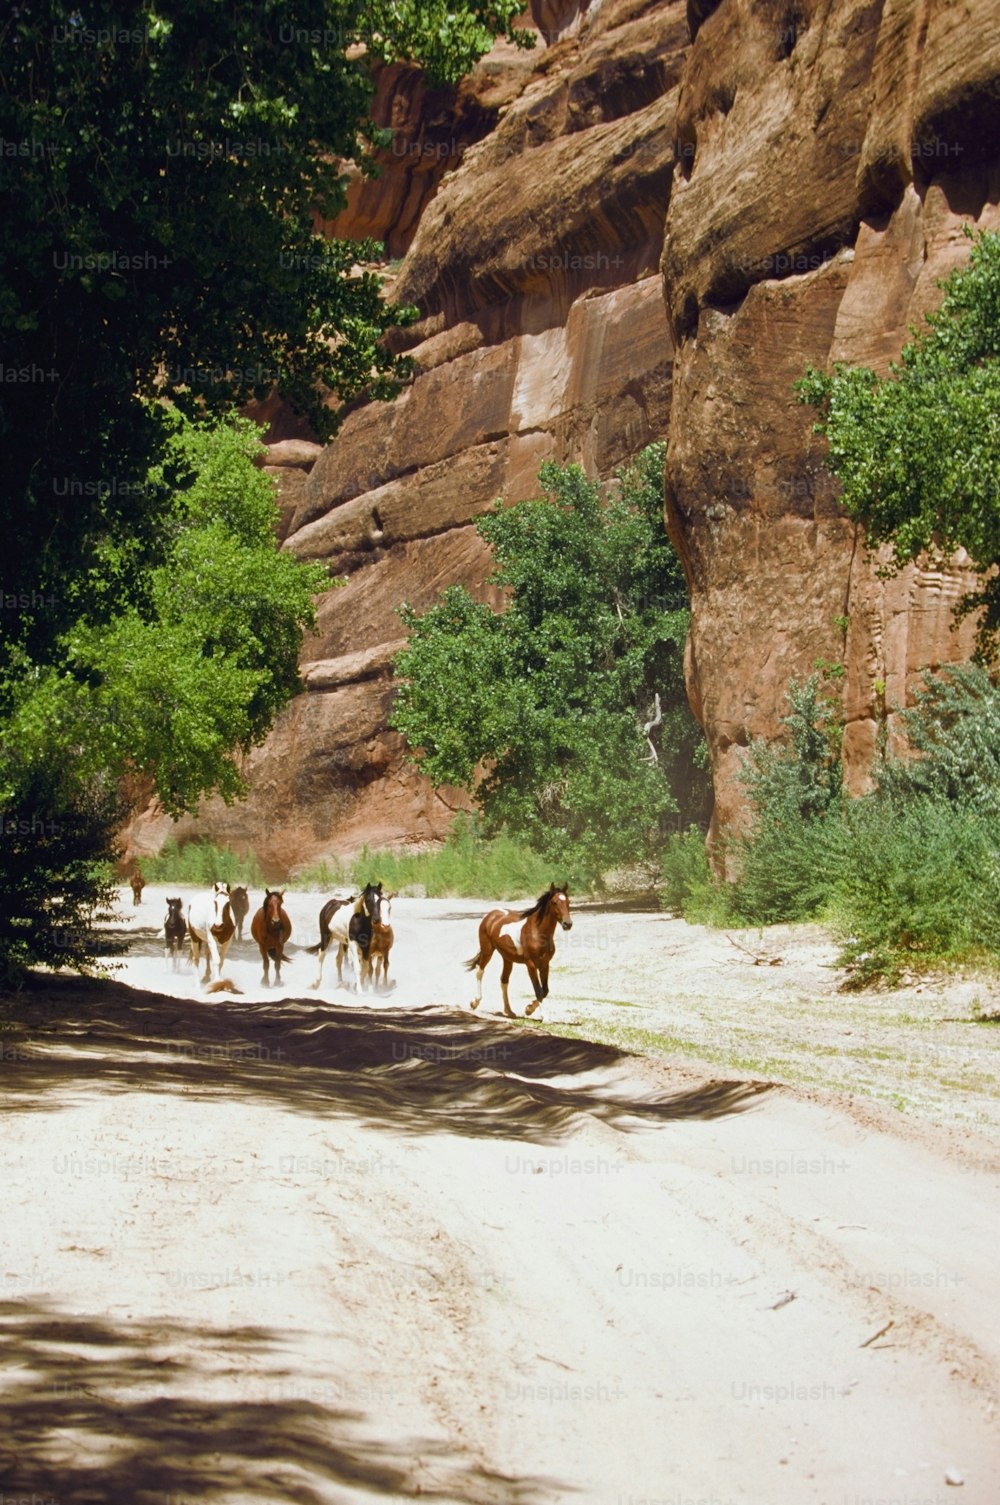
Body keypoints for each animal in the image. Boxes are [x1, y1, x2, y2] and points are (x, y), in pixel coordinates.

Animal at [466, 884, 575, 1017]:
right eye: (554, 902)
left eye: (568, 902)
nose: (567, 924)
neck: (536, 932)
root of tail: (491, 915)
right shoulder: (531, 965)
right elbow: (538, 990)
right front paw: (543, 1016)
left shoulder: (545, 964)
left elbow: (545, 990)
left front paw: (529, 1008)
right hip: (487, 951)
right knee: (480, 971)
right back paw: (474, 1002)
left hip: (507, 958)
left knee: (504, 980)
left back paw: (509, 1011)